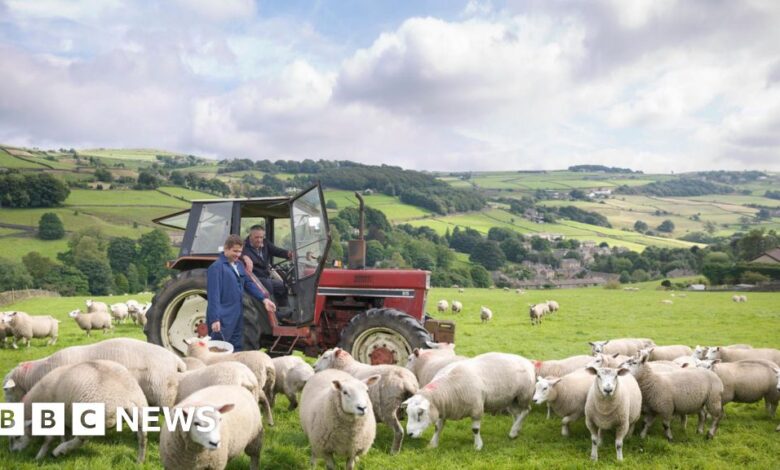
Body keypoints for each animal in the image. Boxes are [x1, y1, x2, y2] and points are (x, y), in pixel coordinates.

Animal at [12, 362, 148, 460]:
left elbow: (48, 439)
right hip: (141, 409)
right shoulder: (64, 419)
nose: (13, 452)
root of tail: (125, 397)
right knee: (142, 438)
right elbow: (64, 435)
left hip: (89, 418)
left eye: (17, 436)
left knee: (81, 440)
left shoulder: (52, 418)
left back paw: (59, 451)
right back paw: (139, 461)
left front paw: (39, 456)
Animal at [402, 352, 536, 452]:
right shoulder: (442, 410)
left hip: (524, 395)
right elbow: (437, 428)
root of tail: (527, 361)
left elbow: (475, 429)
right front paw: (433, 444)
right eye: (407, 413)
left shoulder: (477, 409)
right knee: (518, 414)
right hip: (512, 399)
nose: (409, 434)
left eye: (420, 413)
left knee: (526, 411)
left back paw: (513, 432)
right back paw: (516, 430)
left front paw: (478, 446)